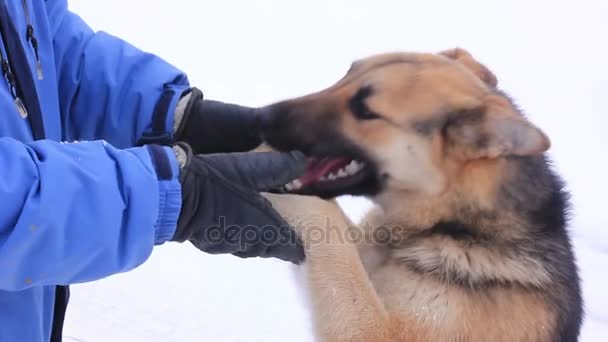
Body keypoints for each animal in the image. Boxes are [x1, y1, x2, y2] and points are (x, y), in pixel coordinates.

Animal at [258, 48, 580, 342]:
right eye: (346, 75)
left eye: (364, 110)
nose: (260, 118)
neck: (452, 227)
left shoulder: (383, 332)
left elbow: (327, 219)